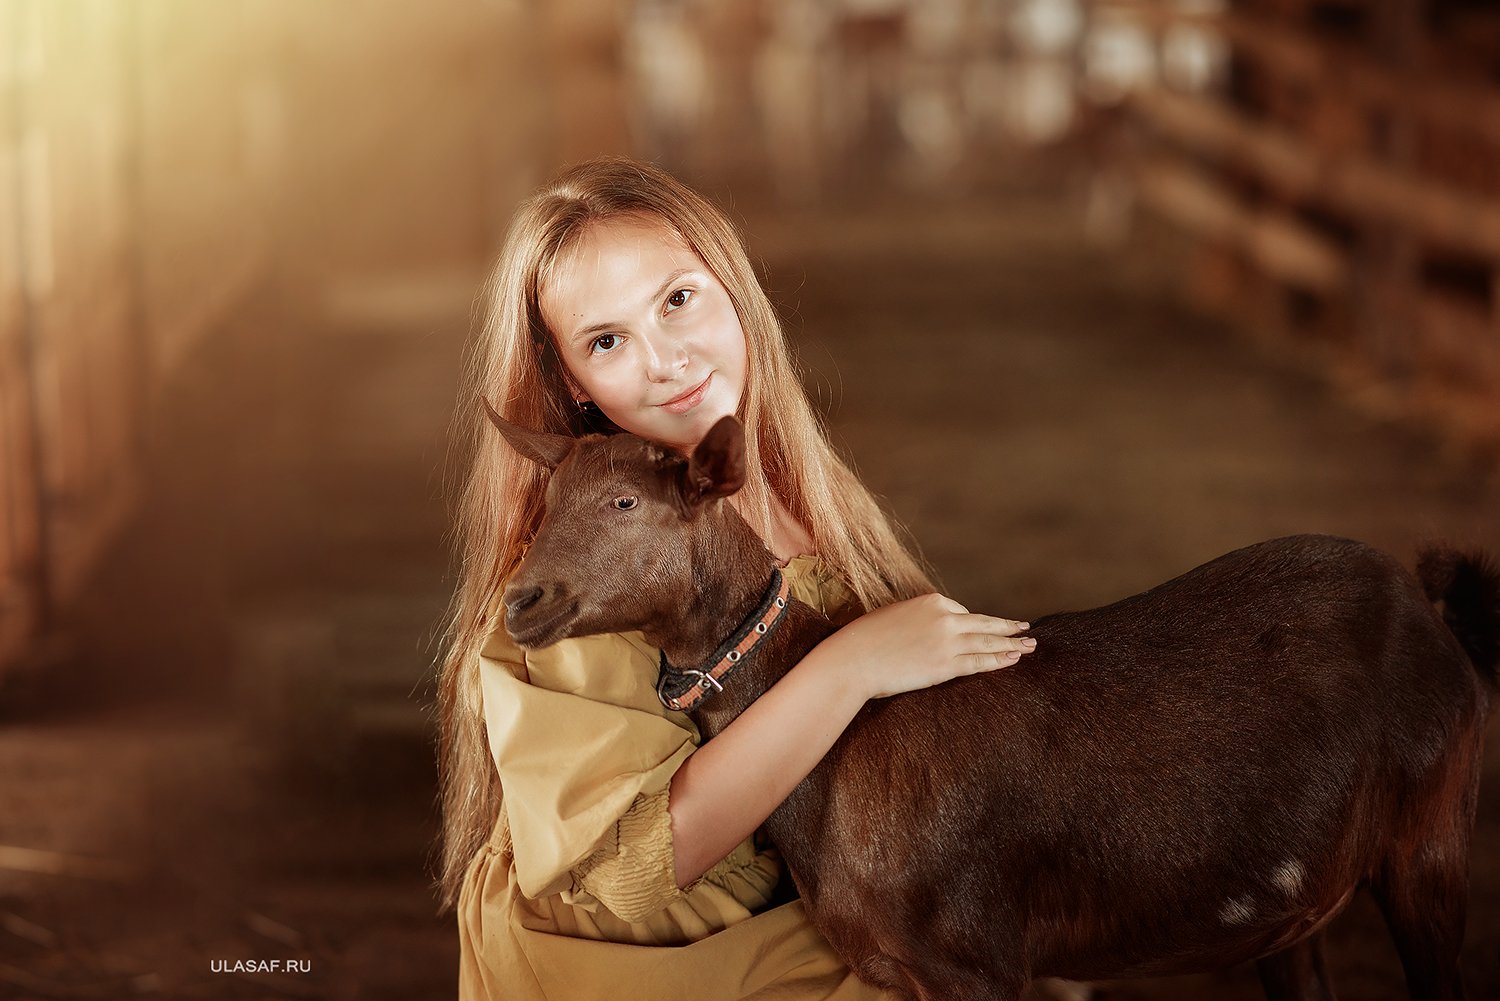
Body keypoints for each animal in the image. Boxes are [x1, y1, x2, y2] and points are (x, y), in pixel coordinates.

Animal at [486, 408, 1494, 1001]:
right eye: (547, 497)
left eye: (625, 502)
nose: (522, 601)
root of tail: (1431, 607)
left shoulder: (979, 957)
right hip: (1295, 898)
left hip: (1431, 830)